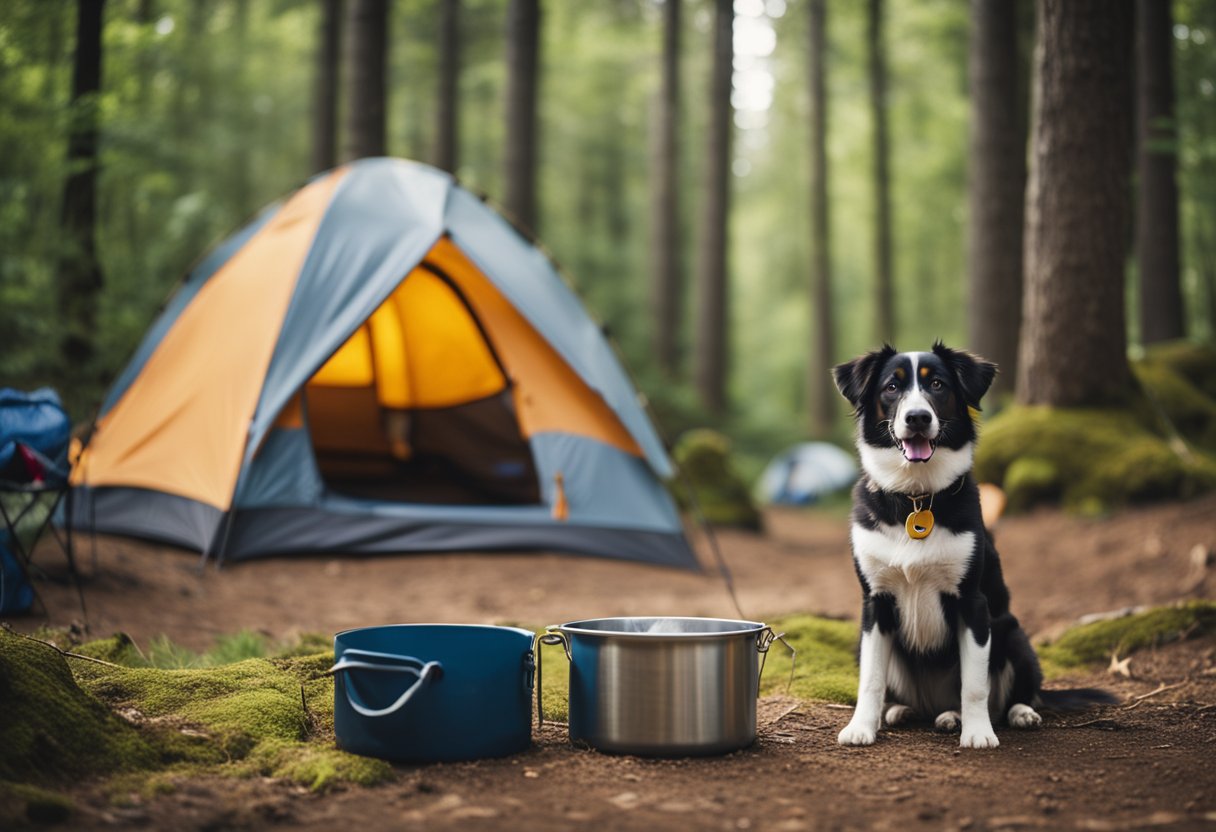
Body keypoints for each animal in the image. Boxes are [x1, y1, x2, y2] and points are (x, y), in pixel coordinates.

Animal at [836, 340, 1055, 749]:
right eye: (892, 386)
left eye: (937, 384)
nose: (918, 418)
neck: (916, 497)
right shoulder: (875, 603)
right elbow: (870, 679)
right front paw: (861, 727)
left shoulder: (973, 603)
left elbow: (975, 684)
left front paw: (979, 732)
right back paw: (905, 711)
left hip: (1013, 632)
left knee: (1016, 691)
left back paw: (1012, 713)